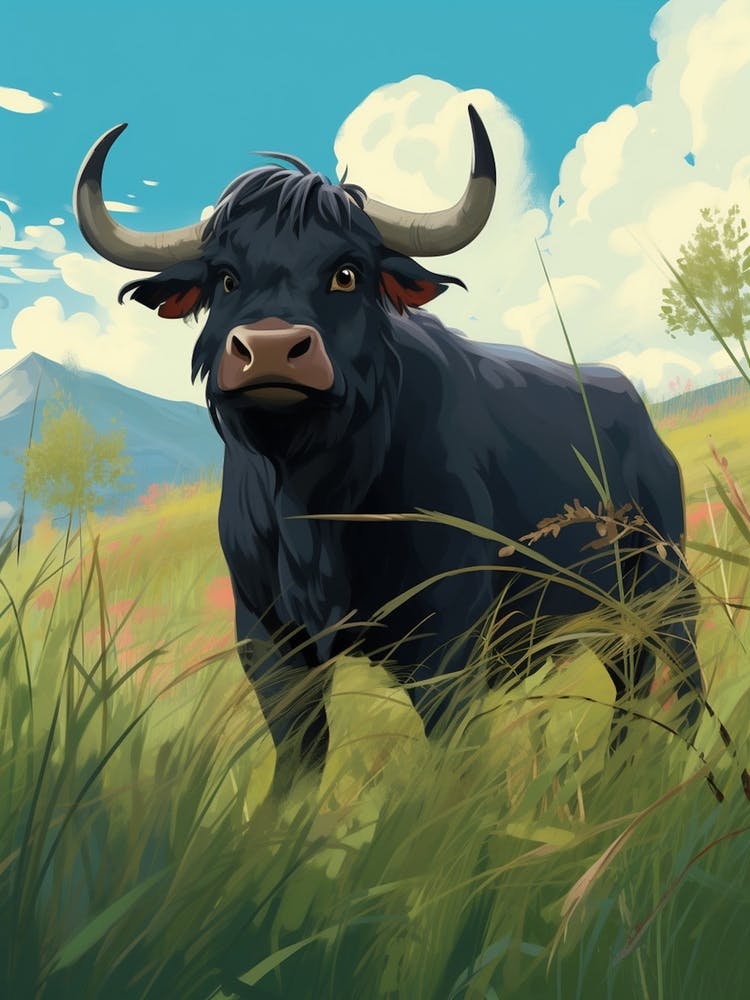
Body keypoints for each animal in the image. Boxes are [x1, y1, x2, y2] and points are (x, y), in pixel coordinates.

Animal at [74, 107, 703, 780]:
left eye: (347, 273)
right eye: (226, 278)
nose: (271, 350)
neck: (311, 501)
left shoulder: (447, 639)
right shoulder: (270, 639)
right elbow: (300, 753)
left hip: (664, 584)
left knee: (679, 671)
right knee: (630, 678)